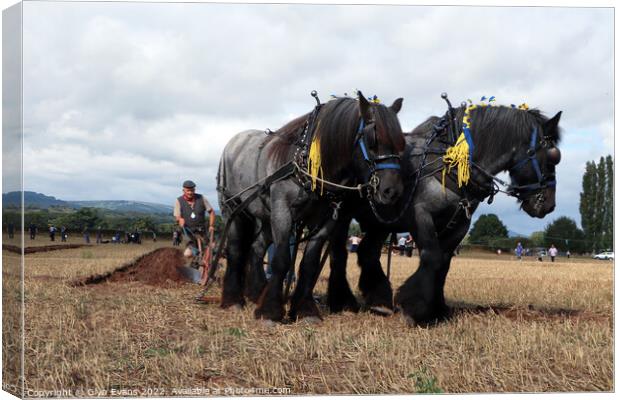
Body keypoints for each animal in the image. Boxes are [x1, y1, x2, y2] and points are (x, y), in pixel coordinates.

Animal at [324, 102, 560, 324]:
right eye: (552, 157)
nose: (548, 205)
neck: (450, 164)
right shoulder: (421, 216)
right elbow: (432, 257)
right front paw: (414, 307)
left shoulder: (460, 224)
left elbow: (444, 263)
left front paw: (437, 309)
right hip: (344, 214)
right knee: (339, 253)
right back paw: (343, 300)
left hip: (380, 221)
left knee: (368, 252)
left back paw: (379, 299)